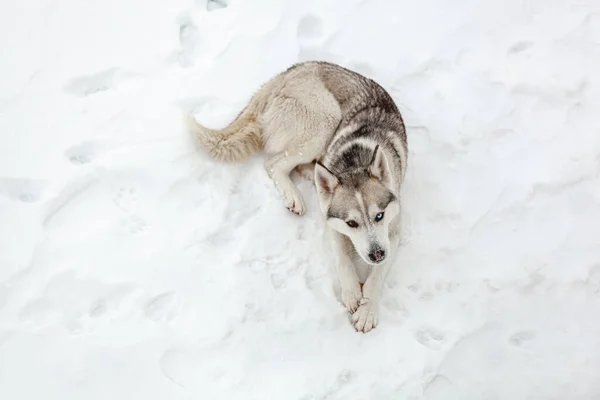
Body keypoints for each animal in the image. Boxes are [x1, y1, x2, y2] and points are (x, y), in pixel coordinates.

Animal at [186, 61, 408, 332]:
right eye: (351, 223)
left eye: (379, 216)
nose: (376, 254)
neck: (356, 159)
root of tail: (287, 73)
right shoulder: (332, 223)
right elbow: (342, 258)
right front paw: (352, 292)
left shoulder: (392, 233)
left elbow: (378, 274)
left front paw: (367, 309)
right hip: (326, 119)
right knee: (274, 164)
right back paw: (295, 194)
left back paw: (310, 173)